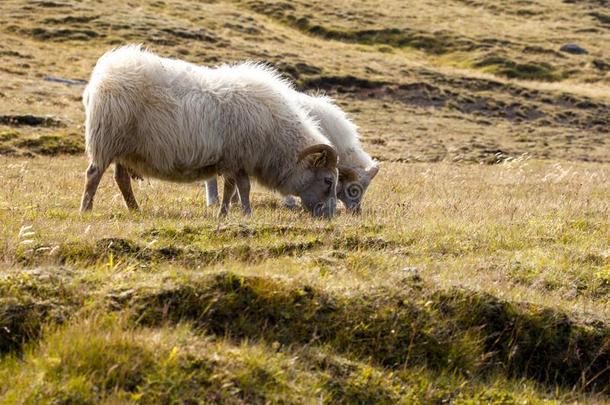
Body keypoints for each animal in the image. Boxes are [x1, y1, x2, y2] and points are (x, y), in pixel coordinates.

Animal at [78, 45, 340, 218]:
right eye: (328, 180)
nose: (329, 216)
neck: (277, 135)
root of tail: (100, 77)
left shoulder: (234, 159)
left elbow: (232, 187)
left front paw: (226, 213)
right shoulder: (240, 155)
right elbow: (242, 187)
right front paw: (245, 213)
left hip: (124, 147)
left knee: (121, 179)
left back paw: (135, 209)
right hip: (107, 138)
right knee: (93, 174)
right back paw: (86, 209)